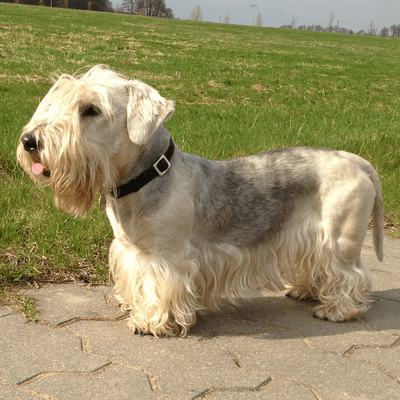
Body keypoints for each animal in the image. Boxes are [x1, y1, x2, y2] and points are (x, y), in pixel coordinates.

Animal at [17, 65, 382, 338]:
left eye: (91, 110)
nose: (29, 141)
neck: (148, 178)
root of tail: (356, 161)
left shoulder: (167, 258)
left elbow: (159, 289)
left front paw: (150, 322)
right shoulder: (130, 251)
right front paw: (133, 305)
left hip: (339, 239)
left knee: (353, 275)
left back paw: (336, 310)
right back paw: (305, 290)